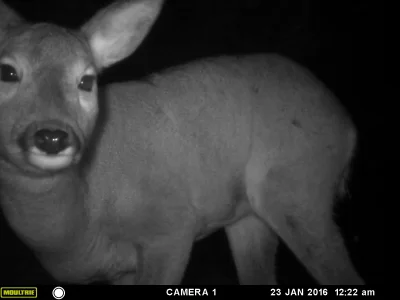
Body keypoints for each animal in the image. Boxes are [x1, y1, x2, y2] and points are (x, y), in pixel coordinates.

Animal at [0, 0, 366, 284]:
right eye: (7, 72)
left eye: (86, 80)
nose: (51, 135)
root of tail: (348, 127)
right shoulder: (120, 271)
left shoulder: (171, 227)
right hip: (248, 215)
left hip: (297, 189)